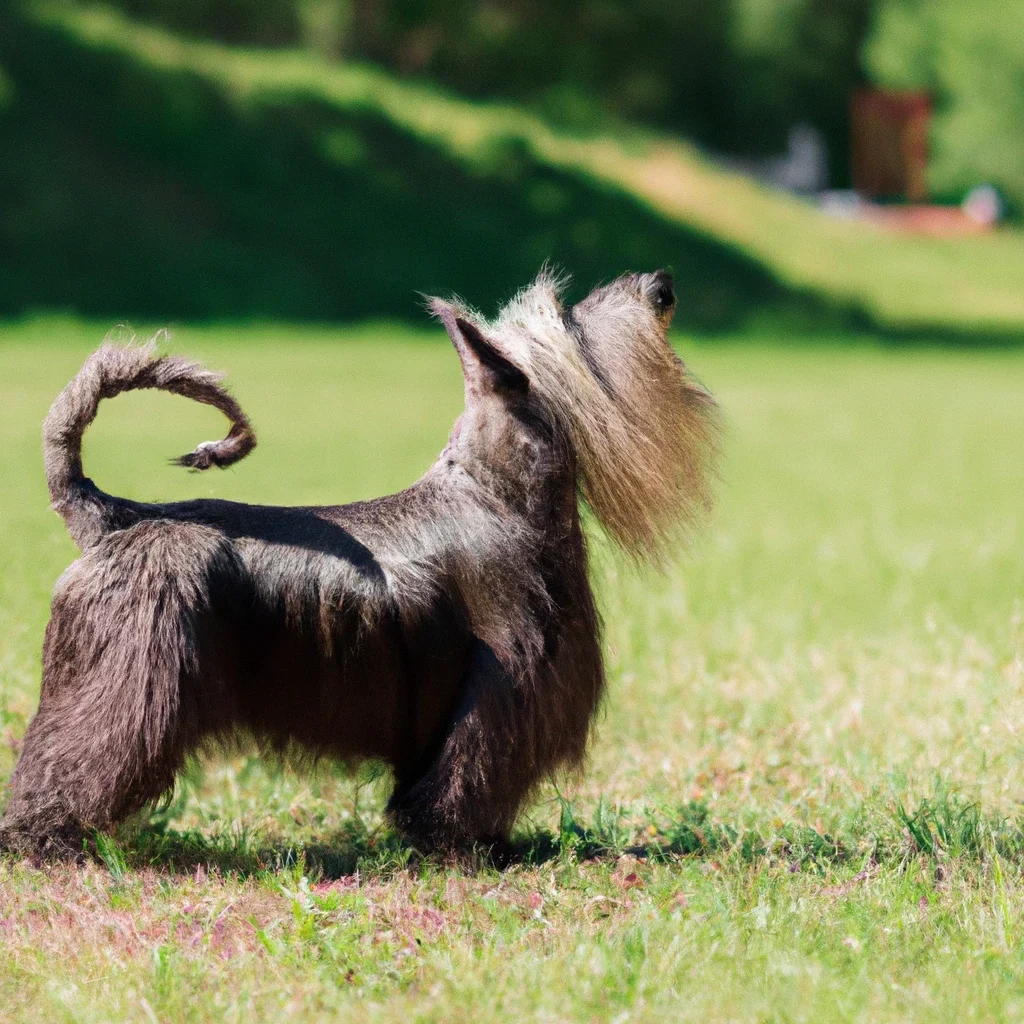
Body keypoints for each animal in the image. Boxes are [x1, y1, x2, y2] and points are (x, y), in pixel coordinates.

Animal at [0, 268, 720, 860]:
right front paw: (466, 851)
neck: (495, 492)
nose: (661, 284)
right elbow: (463, 787)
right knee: (66, 765)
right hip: (122, 693)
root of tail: (111, 515)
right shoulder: (501, 691)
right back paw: (45, 841)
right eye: (567, 318)